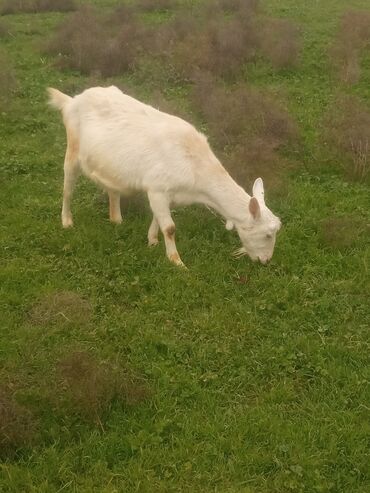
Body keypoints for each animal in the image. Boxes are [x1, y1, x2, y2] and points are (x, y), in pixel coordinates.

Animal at [47, 86, 282, 268]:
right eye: (268, 235)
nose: (266, 261)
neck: (196, 168)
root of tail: (72, 100)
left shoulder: (164, 193)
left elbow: (157, 219)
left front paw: (152, 241)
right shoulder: (158, 188)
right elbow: (169, 227)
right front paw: (176, 262)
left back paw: (116, 219)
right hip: (72, 150)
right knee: (67, 188)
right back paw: (67, 221)